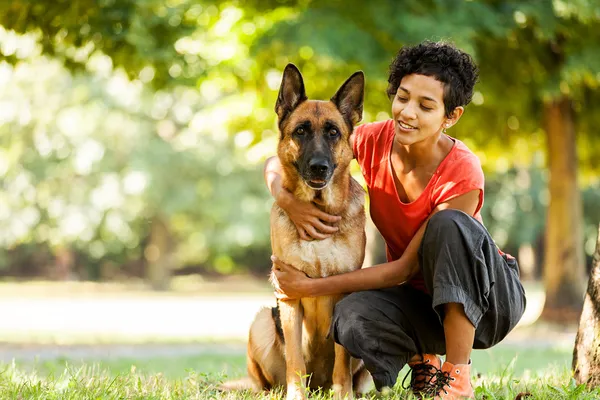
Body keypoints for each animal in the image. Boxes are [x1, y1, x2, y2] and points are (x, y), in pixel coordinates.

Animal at [245, 65, 370, 400]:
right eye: (300, 131)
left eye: (333, 132)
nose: (318, 167)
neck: (319, 208)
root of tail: (319, 385)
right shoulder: (289, 297)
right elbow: (295, 360)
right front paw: (295, 395)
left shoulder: (343, 290)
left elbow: (342, 358)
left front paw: (344, 394)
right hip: (261, 321)